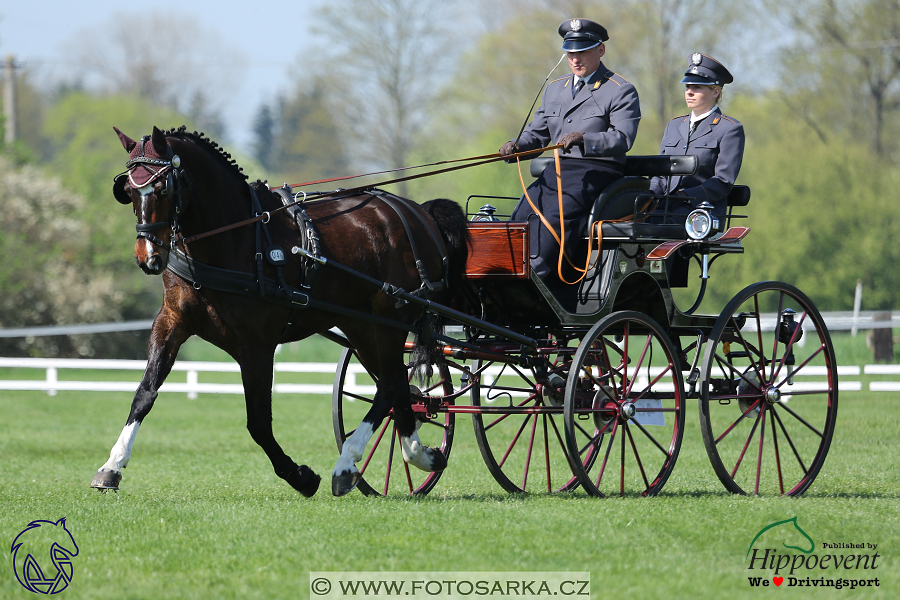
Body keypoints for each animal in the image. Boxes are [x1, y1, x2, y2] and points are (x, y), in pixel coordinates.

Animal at [91, 125, 472, 496]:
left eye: (161, 187)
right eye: (129, 189)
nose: (148, 258)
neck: (235, 238)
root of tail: (417, 212)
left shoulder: (257, 345)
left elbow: (258, 423)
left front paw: (301, 477)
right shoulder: (171, 323)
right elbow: (144, 394)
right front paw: (111, 466)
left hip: (391, 318)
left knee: (391, 386)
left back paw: (349, 463)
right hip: (363, 326)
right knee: (397, 388)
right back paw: (418, 454)